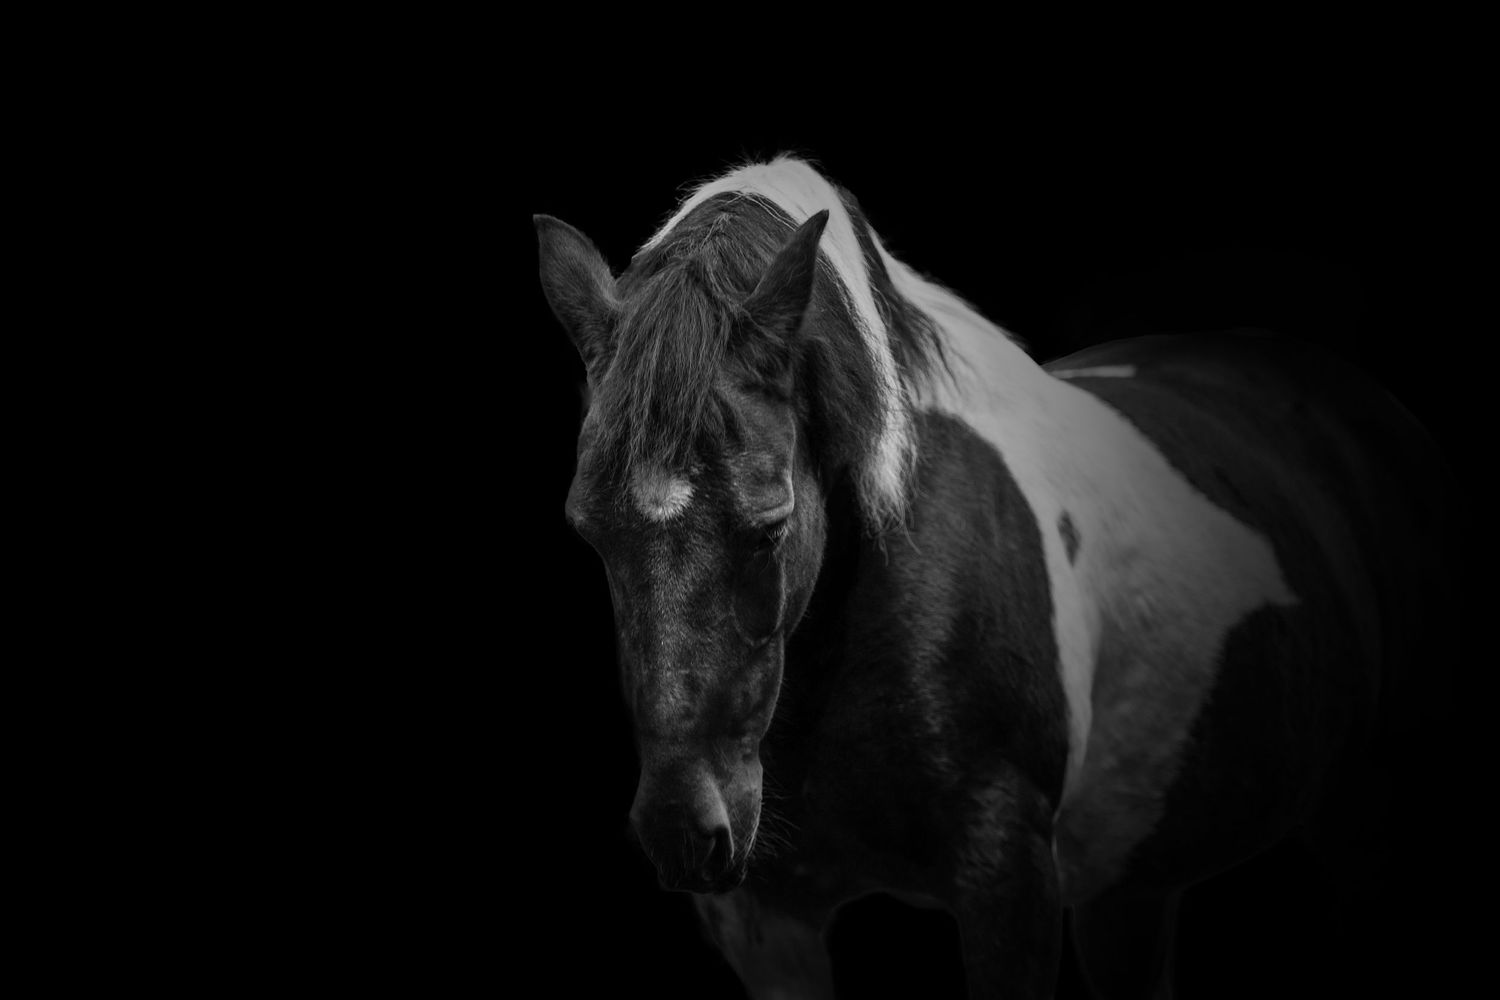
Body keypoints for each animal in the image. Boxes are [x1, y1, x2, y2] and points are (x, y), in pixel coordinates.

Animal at [534, 155, 1459, 998]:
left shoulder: (1007, 887)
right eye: (589, 533)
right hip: (1133, 881)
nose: (683, 832)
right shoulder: (771, 926)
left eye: (769, 526)